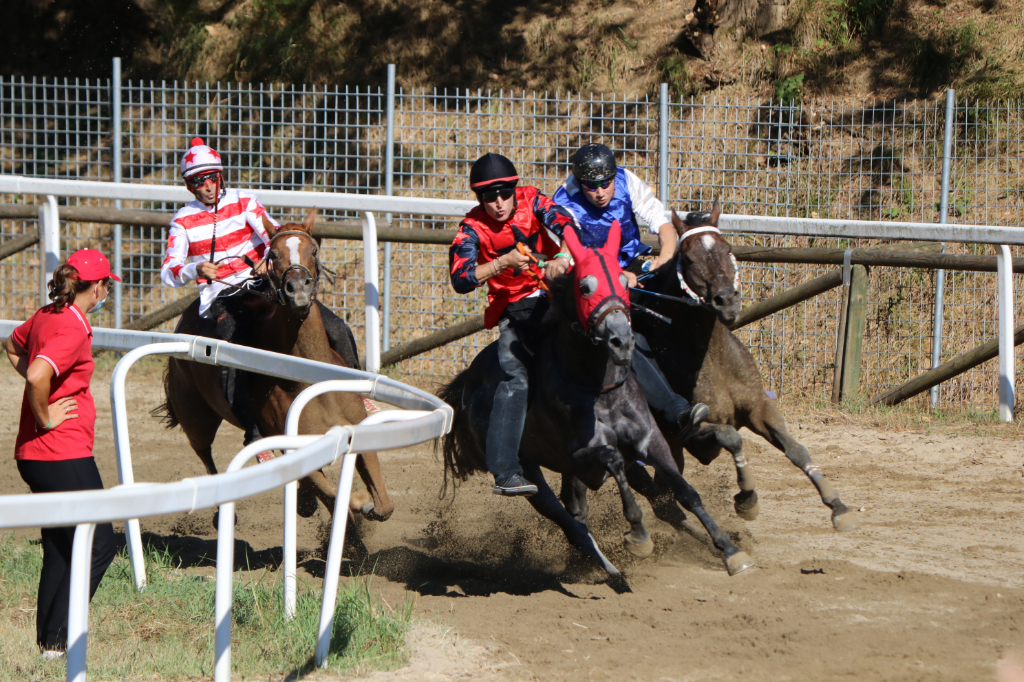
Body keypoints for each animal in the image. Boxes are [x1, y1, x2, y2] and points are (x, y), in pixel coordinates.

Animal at [157, 206, 393, 520]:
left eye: (313, 250)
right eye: (274, 254)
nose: (298, 289)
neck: (306, 377)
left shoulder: (356, 434)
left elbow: (383, 507)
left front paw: (360, 504)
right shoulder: (295, 448)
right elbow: (333, 503)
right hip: (196, 417)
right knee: (204, 451)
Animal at [436, 222, 757, 573]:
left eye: (623, 281)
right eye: (585, 287)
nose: (622, 340)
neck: (595, 387)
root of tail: (466, 383)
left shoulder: (651, 439)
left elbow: (686, 492)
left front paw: (729, 548)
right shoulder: (583, 456)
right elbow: (615, 463)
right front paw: (639, 536)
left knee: (578, 511)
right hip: (528, 469)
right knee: (567, 520)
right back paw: (604, 566)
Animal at [626, 201, 860, 532]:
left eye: (728, 248)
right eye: (689, 258)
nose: (727, 301)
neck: (711, 356)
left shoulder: (759, 407)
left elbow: (796, 449)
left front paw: (838, 506)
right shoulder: (692, 434)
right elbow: (731, 438)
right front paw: (747, 498)